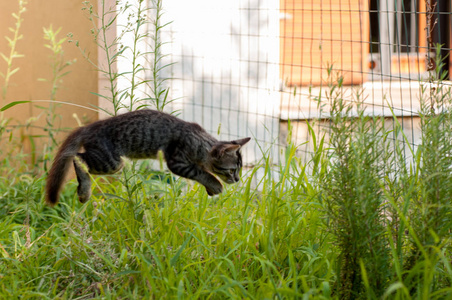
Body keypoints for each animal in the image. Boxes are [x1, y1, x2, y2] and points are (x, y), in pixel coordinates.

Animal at [45, 109, 251, 206]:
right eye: (232, 170)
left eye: (239, 170)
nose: (237, 179)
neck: (200, 142)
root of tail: (88, 127)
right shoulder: (177, 161)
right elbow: (202, 173)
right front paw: (215, 184)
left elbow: (203, 173)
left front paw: (211, 188)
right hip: (111, 162)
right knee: (76, 157)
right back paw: (84, 191)